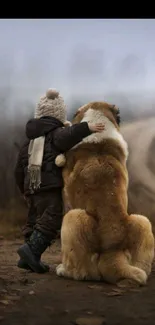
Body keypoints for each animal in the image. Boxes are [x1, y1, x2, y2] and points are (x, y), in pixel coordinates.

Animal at [56, 101, 154, 284]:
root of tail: (112, 249)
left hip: (72, 218)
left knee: (82, 272)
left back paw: (63, 270)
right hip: (142, 221)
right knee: (142, 267)